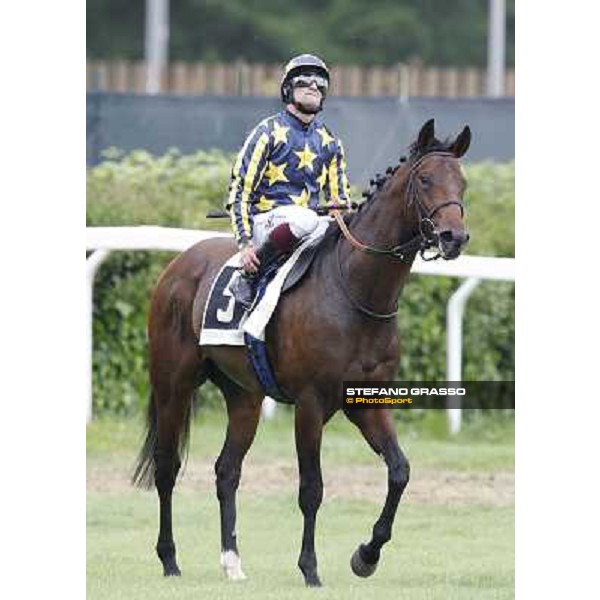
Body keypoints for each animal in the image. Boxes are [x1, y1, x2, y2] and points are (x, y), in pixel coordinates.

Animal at [134, 117, 472, 584]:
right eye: (425, 180)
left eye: (462, 182)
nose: (453, 236)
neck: (355, 290)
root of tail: (179, 263)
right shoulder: (311, 404)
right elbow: (312, 489)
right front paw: (310, 568)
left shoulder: (368, 402)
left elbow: (400, 471)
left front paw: (366, 555)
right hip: (173, 382)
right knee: (166, 467)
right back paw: (169, 560)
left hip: (244, 395)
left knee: (227, 470)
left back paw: (232, 561)